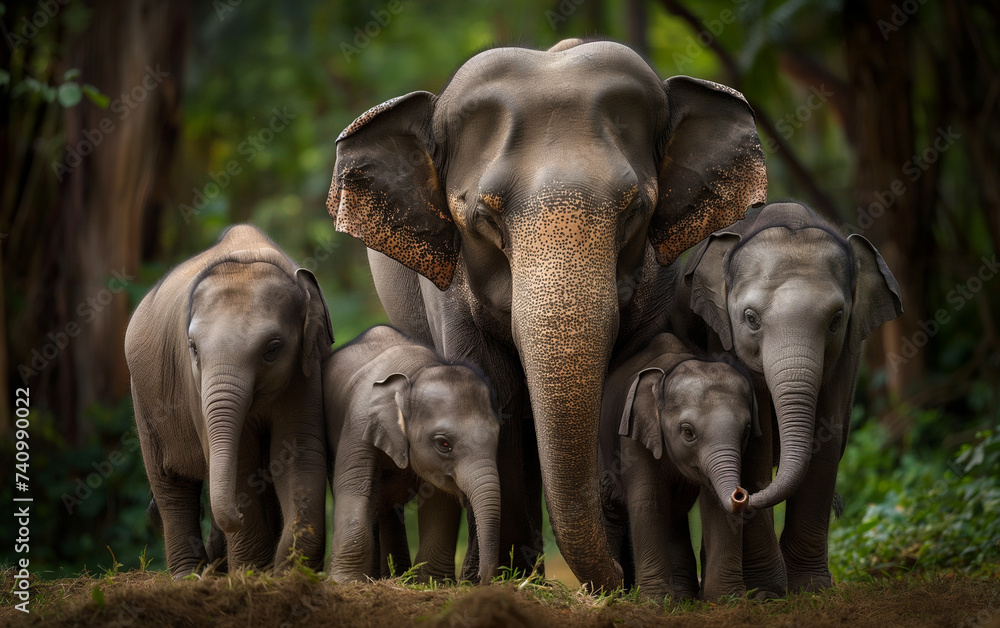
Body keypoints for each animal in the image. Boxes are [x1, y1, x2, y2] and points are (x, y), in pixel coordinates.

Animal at [125, 224, 333, 577]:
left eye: (272, 349)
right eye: (193, 348)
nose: (235, 516)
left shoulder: (307, 367)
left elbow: (298, 452)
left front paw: (288, 572)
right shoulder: (194, 386)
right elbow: (240, 463)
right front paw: (251, 573)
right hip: (143, 399)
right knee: (170, 484)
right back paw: (189, 574)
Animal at [324, 325, 501, 585]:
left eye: (497, 436)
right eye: (444, 443)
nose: (480, 579)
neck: (417, 373)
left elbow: (440, 501)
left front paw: (431, 583)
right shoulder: (359, 423)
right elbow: (354, 486)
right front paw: (347, 583)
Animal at [600, 332, 760, 601]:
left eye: (746, 431)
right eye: (687, 432)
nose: (740, 495)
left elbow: (714, 505)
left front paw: (727, 600)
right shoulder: (635, 434)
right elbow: (649, 500)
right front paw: (655, 602)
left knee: (674, 515)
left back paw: (684, 596)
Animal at [671, 201, 903, 591]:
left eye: (836, 319)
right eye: (750, 318)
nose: (741, 496)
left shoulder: (846, 357)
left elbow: (827, 439)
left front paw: (811, 588)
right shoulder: (723, 339)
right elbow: (756, 446)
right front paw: (766, 591)